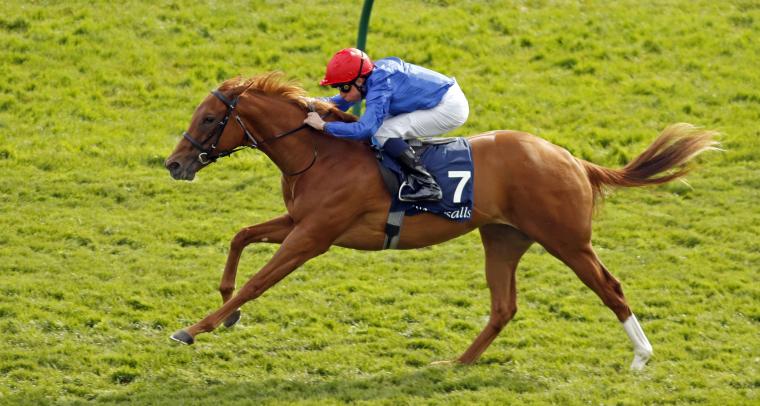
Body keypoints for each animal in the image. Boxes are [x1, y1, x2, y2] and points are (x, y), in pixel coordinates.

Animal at [165, 71, 720, 370]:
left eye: (210, 119)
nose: (174, 164)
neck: (321, 153)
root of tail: (572, 159)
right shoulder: (299, 221)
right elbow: (241, 237)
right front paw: (226, 311)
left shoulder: (313, 235)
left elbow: (258, 281)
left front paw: (195, 328)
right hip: (503, 238)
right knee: (504, 306)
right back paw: (458, 362)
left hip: (567, 240)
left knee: (610, 287)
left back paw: (641, 356)